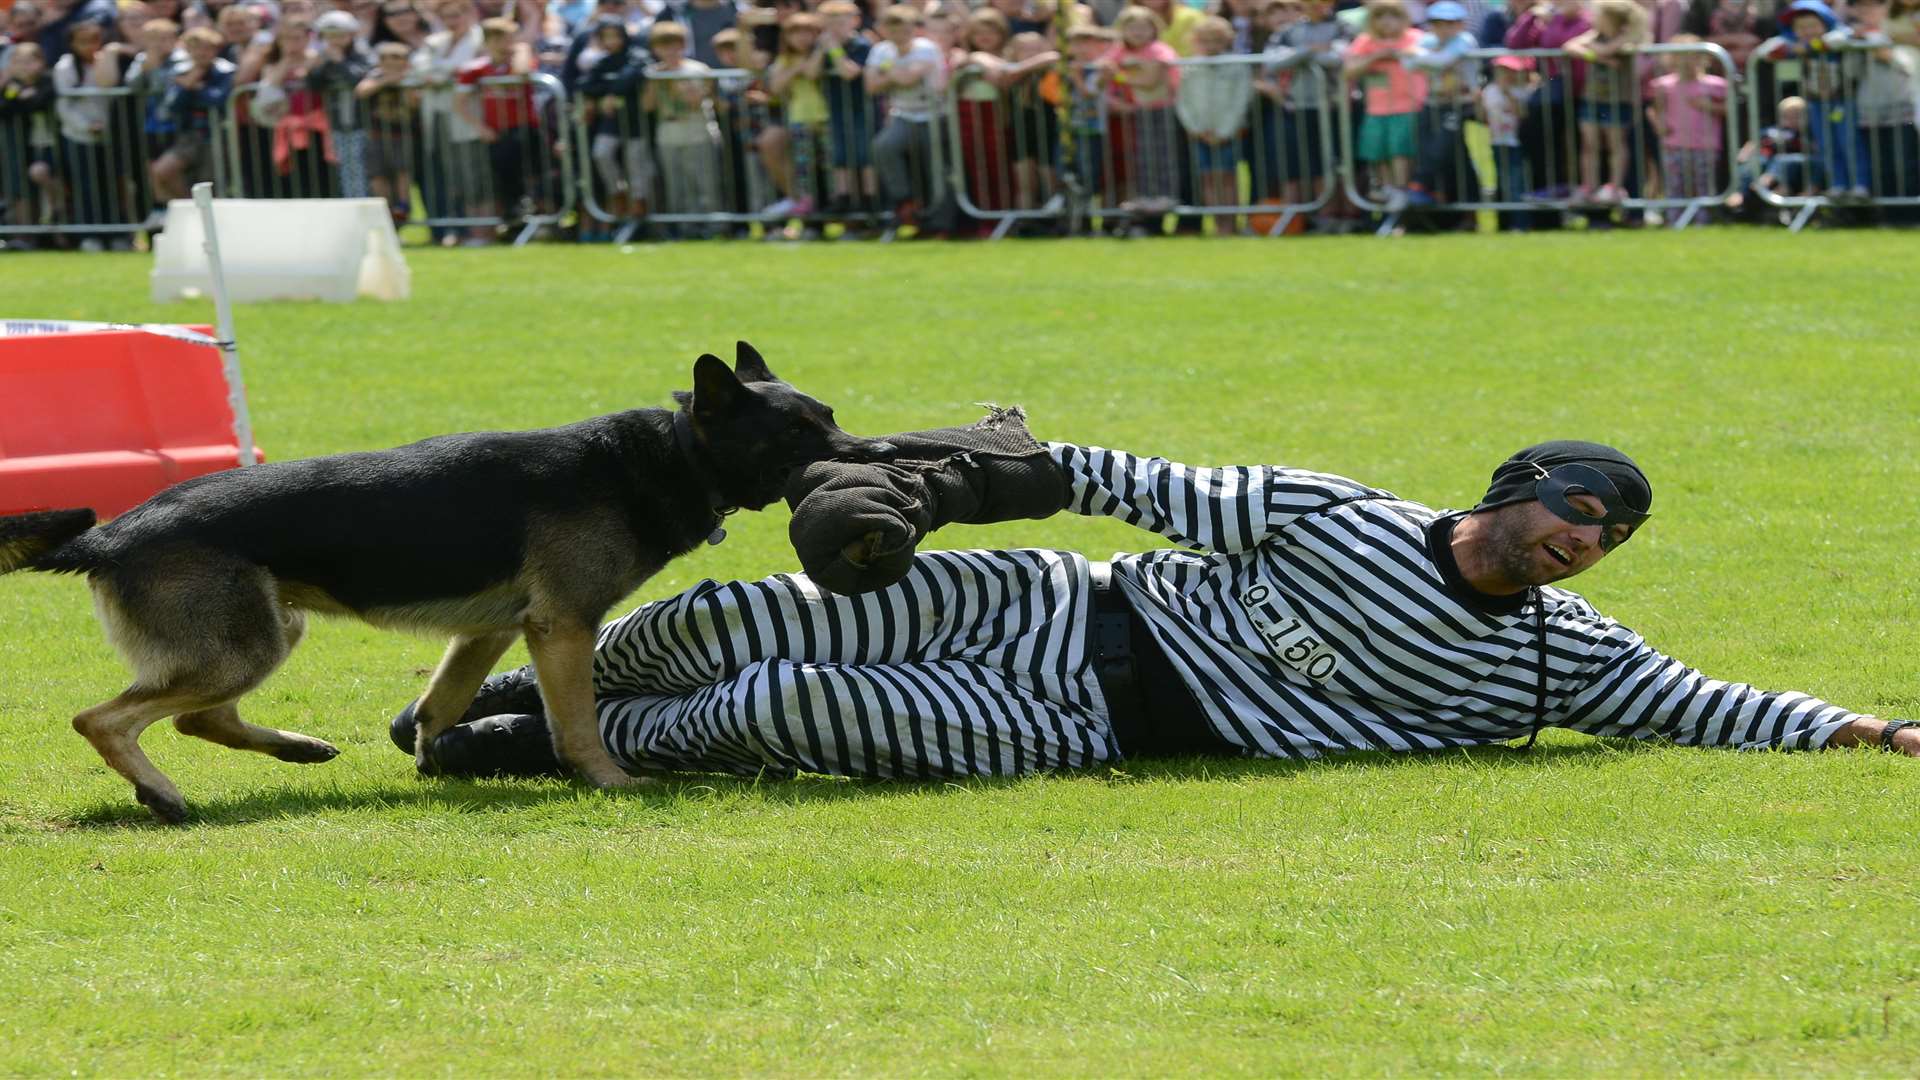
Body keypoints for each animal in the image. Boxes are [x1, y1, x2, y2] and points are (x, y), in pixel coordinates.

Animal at [0, 340, 894, 818]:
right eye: (797, 431)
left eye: (830, 417)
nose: (883, 453)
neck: (669, 454)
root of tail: (111, 533)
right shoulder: (561, 627)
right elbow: (579, 722)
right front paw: (607, 779)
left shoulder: (491, 629)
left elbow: (441, 702)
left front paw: (435, 757)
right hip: (244, 645)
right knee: (106, 719)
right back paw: (163, 795)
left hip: (268, 630)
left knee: (195, 717)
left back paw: (295, 749)